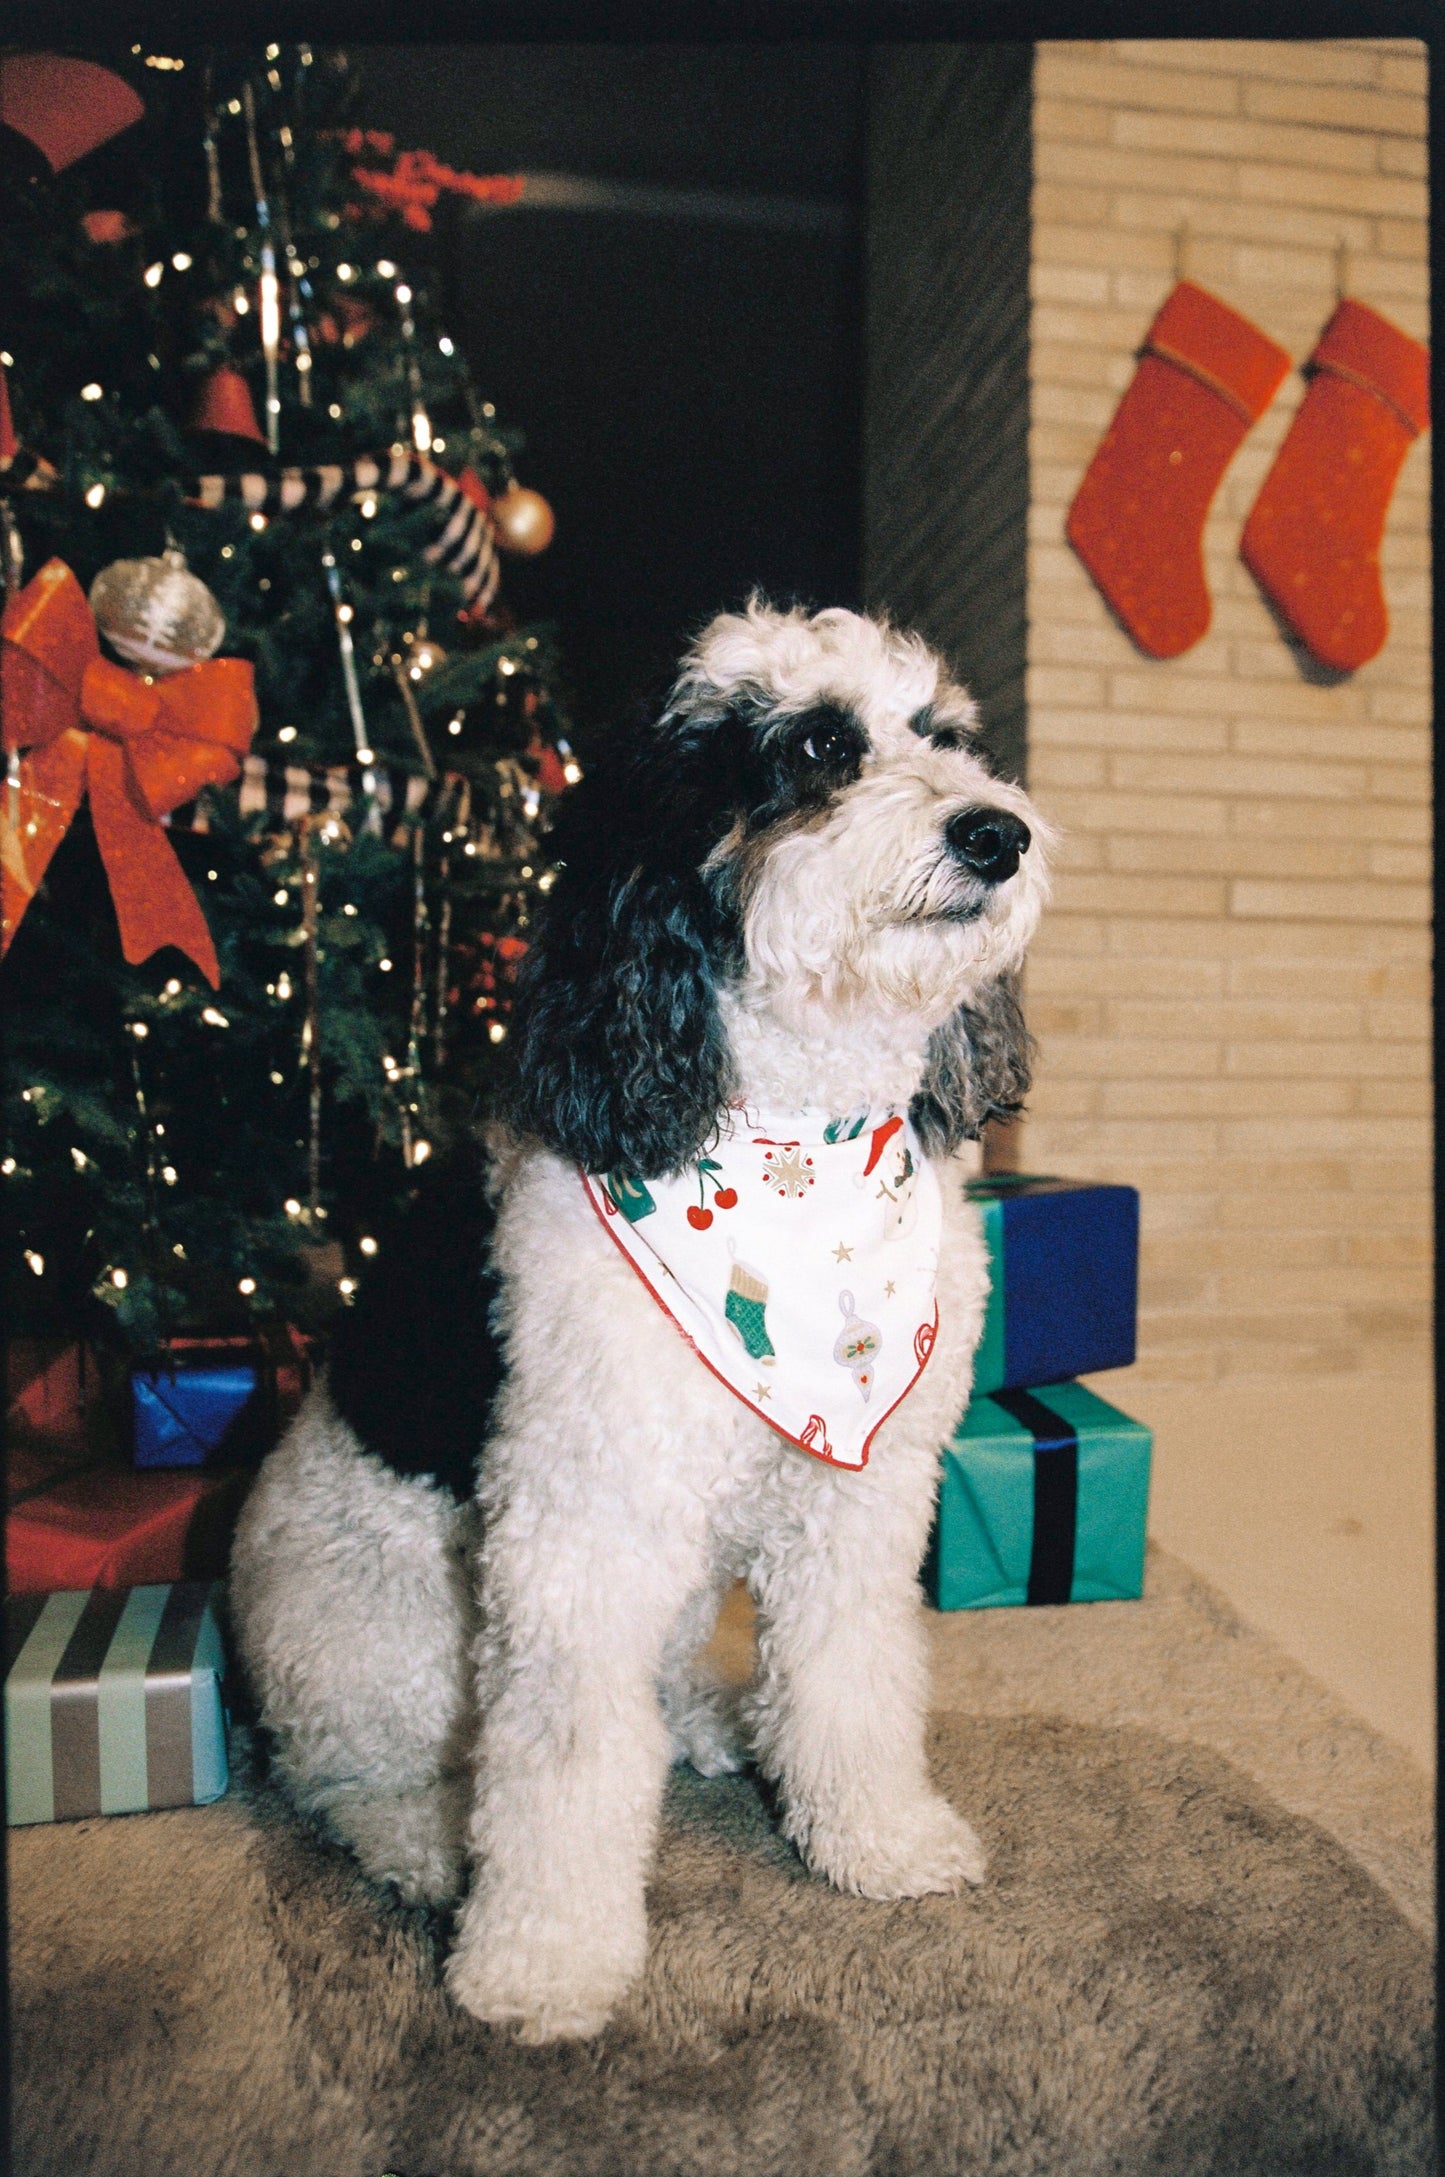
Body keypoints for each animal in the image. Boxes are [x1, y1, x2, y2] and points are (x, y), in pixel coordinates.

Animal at [231, 592, 1057, 2037]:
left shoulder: (858, 1499)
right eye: (813, 749)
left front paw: (876, 1838)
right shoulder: (580, 1529)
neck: (791, 1137)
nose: (994, 832)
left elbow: (852, 1680)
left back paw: (715, 1727)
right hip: (375, 1637)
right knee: (348, 1786)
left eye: (949, 739)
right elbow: (562, 1765)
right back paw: (433, 1848)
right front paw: (543, 1960)